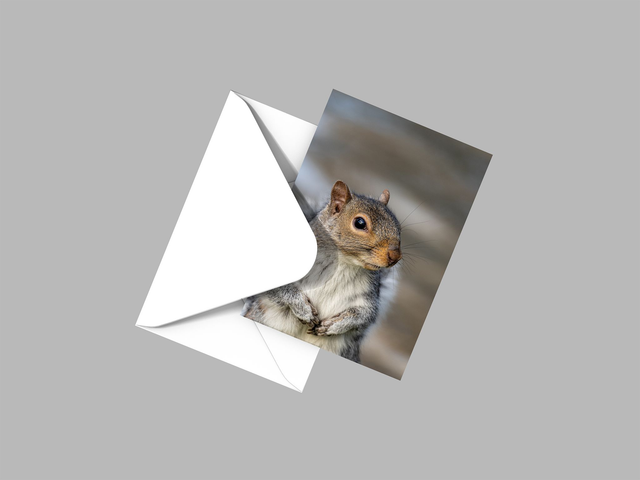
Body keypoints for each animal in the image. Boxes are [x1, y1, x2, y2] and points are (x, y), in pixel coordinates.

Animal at [242, 180, 402, 363]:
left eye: (398, 226)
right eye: (360, 223)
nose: (395, 256)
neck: (344, 262)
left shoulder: (368, 295)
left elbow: (365, 316)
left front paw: (335, 325)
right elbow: (279, 291)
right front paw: (303, 309)